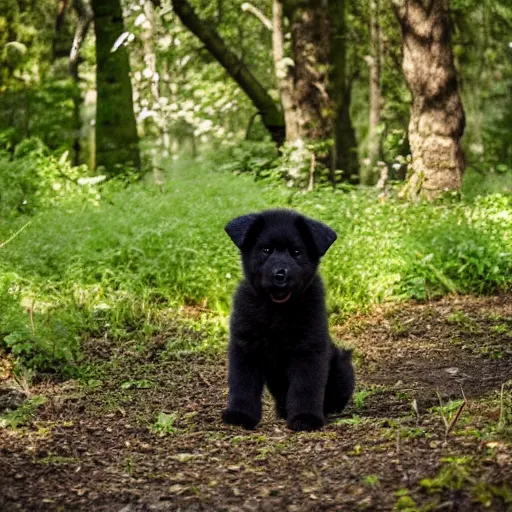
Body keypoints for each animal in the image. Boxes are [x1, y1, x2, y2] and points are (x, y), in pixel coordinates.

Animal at [222, 209, 354, 432]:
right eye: (266, 250)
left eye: (296, 252)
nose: (280, 274)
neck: (277, 309)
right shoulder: (245, 347)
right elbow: (243, 384)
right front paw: (240, 415)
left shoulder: (308, 349)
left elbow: (305, 386)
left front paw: (305, 418)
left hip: (342, 367)